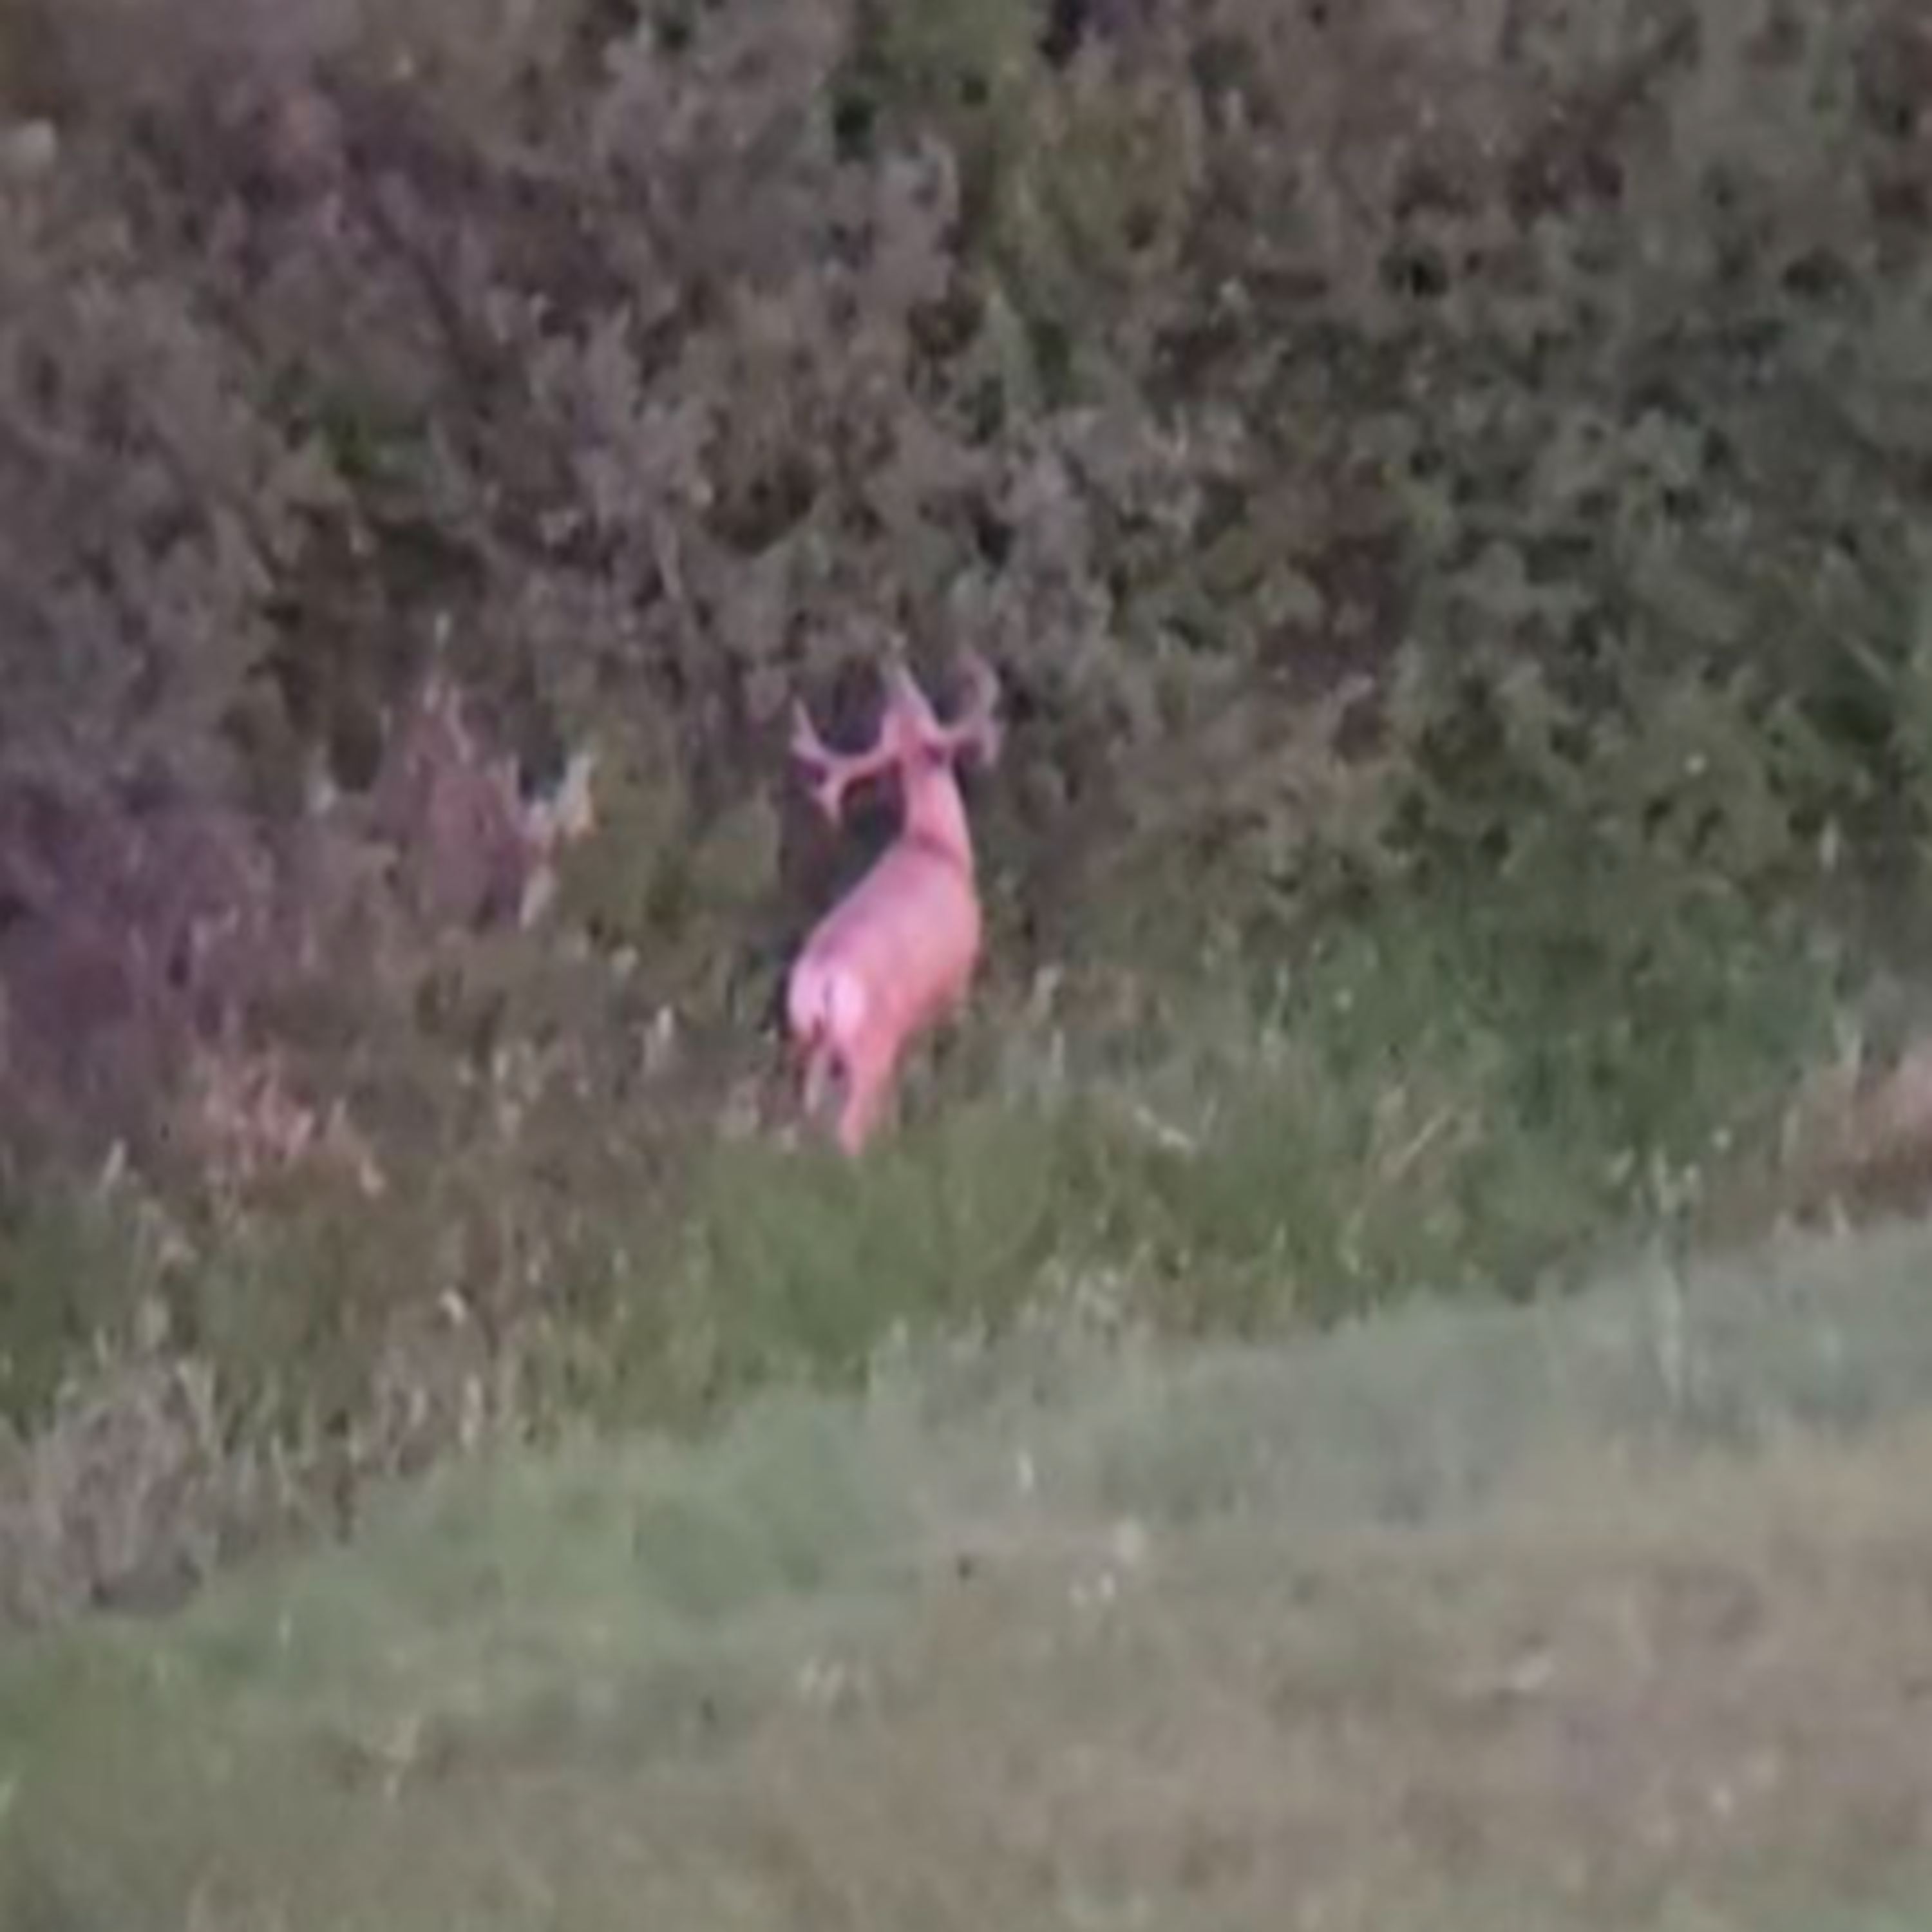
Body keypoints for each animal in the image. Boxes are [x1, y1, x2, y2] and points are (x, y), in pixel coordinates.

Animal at [785, 651, 1002, 1155]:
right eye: (925, 706)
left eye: (910, 705)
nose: (893, 671)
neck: (936, 843)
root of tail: (821, 982)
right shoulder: (959, 976)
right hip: (872, 1042)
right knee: (849, 1132)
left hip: (812, 1042)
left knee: (809, 1114)